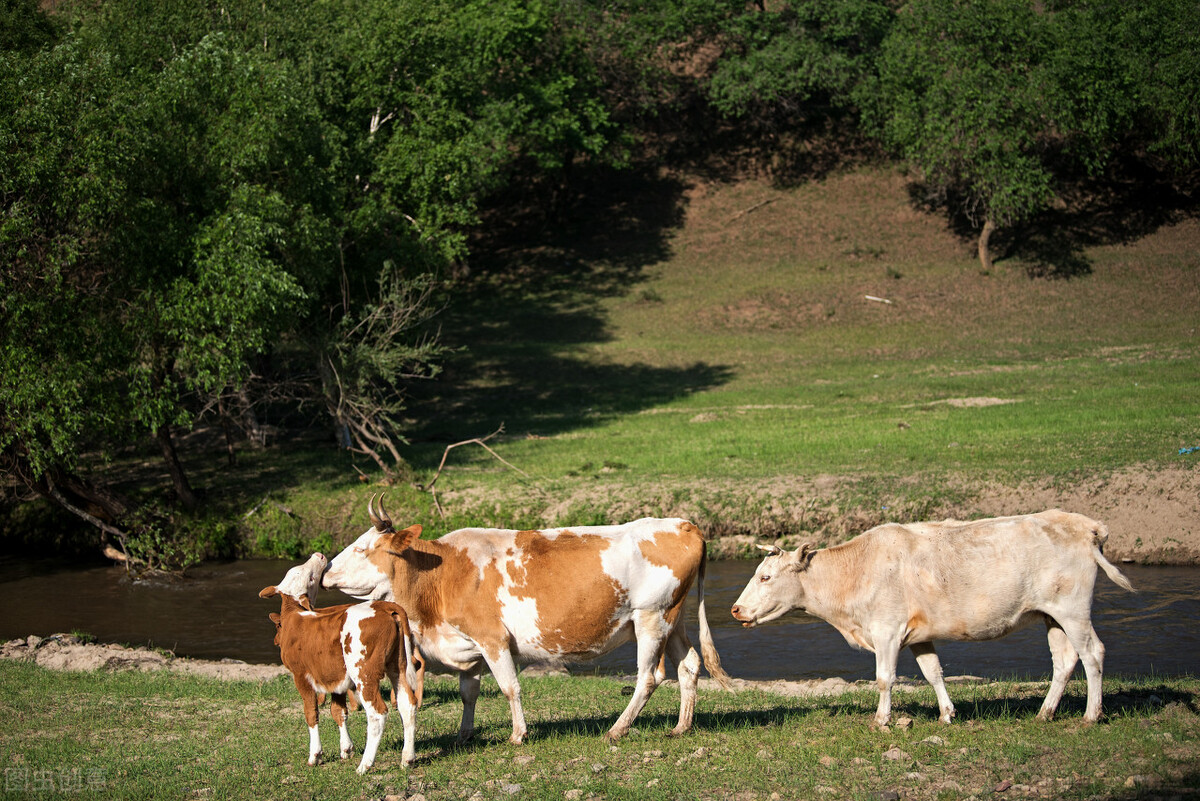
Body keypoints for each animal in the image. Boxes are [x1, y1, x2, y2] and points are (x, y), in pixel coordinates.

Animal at [261, 553, 427, 772]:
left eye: (310, 576)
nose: (319, 555)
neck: (294, 615)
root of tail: (384, 606)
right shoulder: (334, 678)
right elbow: (338, 711)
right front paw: (346, 749)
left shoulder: (301, 676)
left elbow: (311, 713)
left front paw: (315, 755)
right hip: (397, 667)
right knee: (407, 705)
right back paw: (407, 759)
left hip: (364, 673)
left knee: (377, 713)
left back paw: (365, 765)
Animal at [319, 496, 729, 748]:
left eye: (361, 548)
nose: (324, 570)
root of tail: (685, 524)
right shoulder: (469, 646)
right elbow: (469, 692)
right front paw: (464, 735)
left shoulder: (493, 638)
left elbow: (509, 687)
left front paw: (518, 734)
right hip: (674, 621)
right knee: (689, 665)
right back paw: (681, 726)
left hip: (651, 617)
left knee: (650, 676)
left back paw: (617, 729)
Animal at [729, 510, 1132, 729]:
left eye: (765, 577)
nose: (735, 609)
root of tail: (1085, 525)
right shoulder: (918, 635)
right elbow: (933, 672)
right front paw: (947, 714)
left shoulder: (887, 631)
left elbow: (884, 678)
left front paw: (881, 720)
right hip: (1051, 615)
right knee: (1063, 661)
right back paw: (1044, 714)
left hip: (1073, 610)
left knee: (1093, 653)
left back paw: (1091, 715)